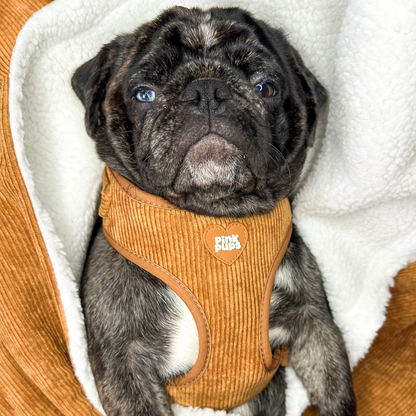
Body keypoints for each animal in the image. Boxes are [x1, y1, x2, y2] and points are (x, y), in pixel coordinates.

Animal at [73, 5, 356, 416]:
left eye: (266, 87)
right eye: (144, 93)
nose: (207, 90)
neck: (213, 216)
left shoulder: (313, 323)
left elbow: (336, 390)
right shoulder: (124, 359)